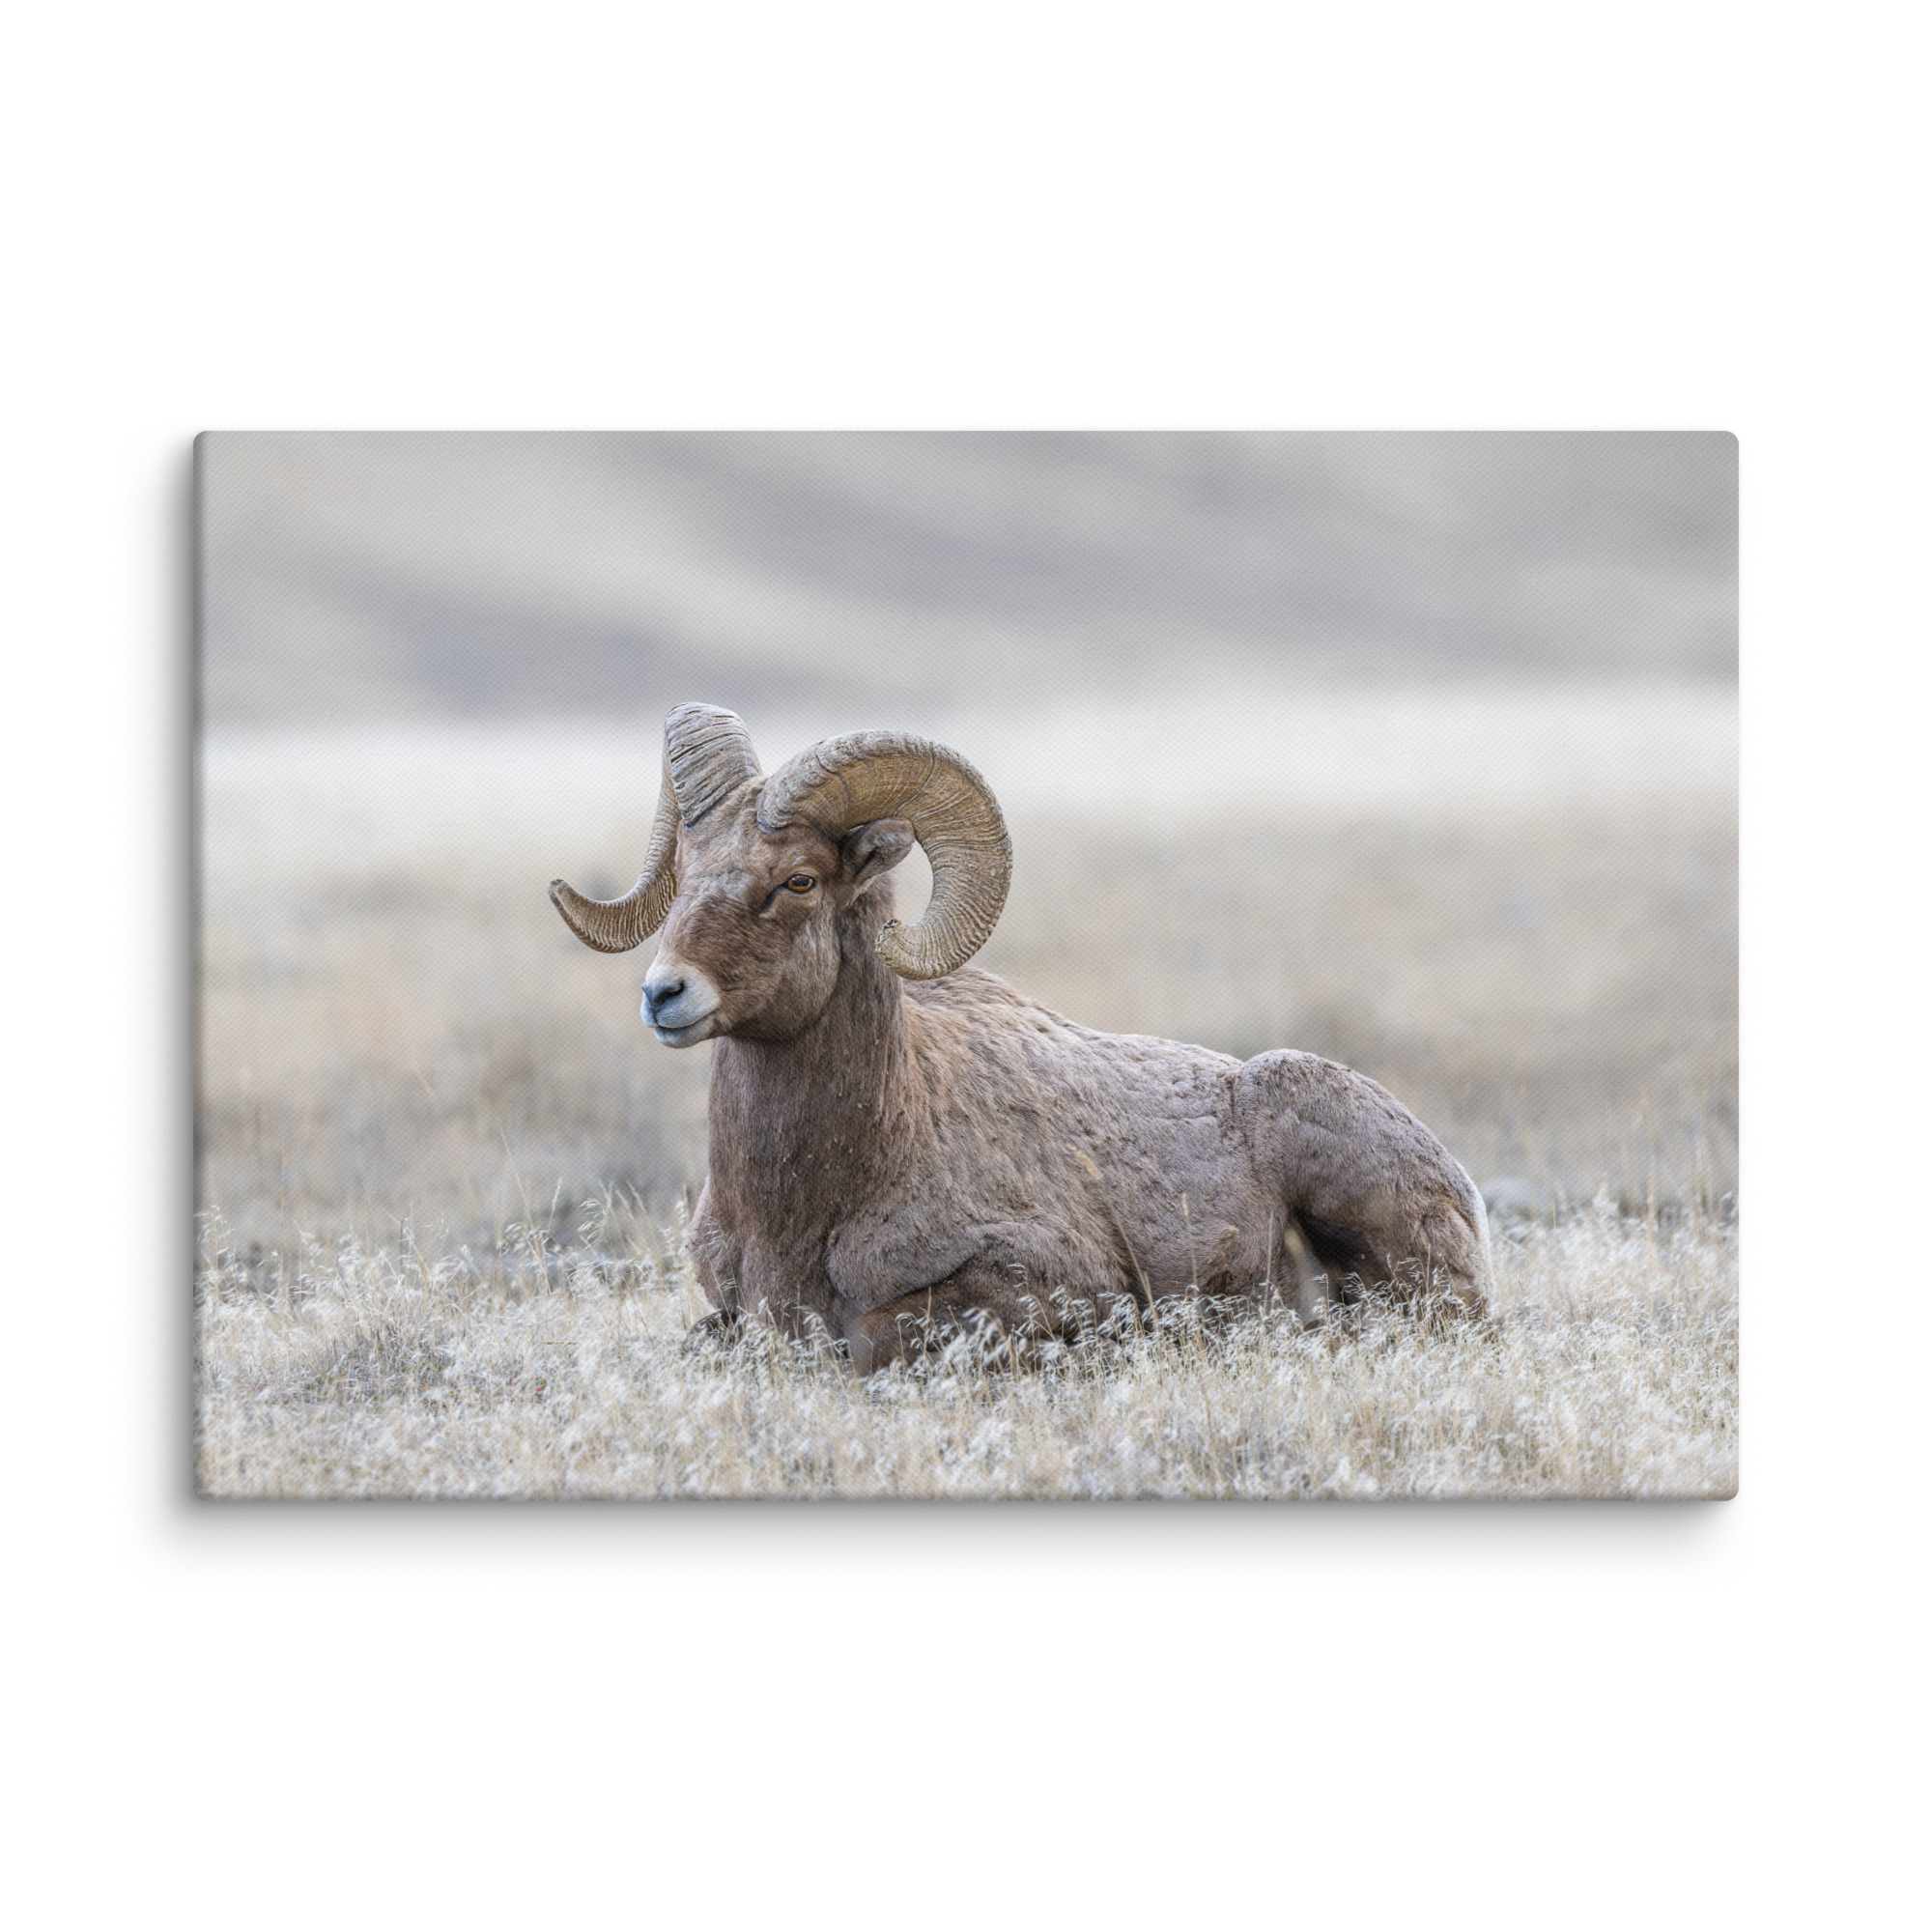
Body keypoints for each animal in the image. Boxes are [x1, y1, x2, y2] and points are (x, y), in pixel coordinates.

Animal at [550, 703, 1493, 1370]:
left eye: (799, 881)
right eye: (686, 875)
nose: (664, 994)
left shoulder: (1039, 1287)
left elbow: (873, 1337)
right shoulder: (729, 1310)